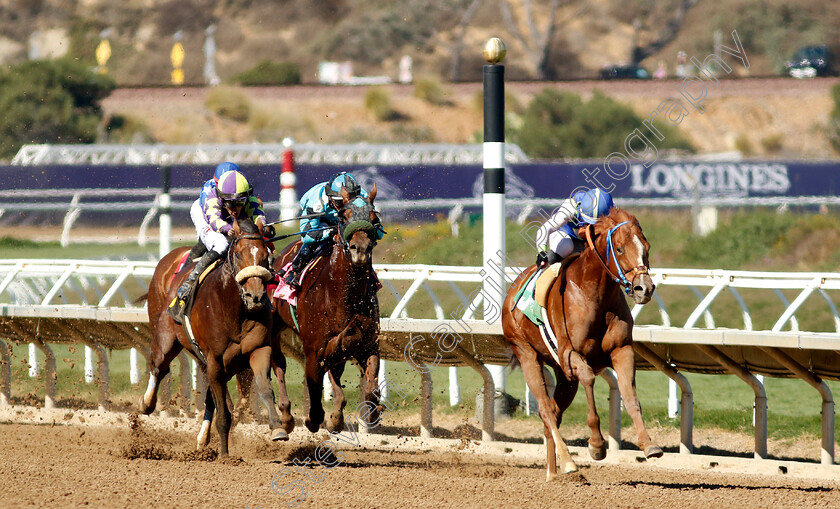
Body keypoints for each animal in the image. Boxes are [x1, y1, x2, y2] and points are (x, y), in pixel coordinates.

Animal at [139, 216, 294, 454]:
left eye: (265, 255)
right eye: (238, 254)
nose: (256, 296)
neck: (233, 311)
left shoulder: (258, 349)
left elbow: (265, 389)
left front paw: (278, 428)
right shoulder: (214, 360)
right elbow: (224, 415)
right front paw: (225, 455)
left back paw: (203, 438)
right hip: (167, 337)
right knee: (158, 366)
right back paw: (147, 403)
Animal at [270, 186, 382, 432]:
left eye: (374, 218)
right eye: (343, 216)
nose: (360, 250)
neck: (341, 295)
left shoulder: (369, 344)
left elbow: (370, 387)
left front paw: (371, 410)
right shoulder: (313, 348)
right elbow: (314, 384)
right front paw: (314, 418)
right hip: (273, 327)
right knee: (278, 364)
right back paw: (286, 414)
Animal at [506, 206, 664, 480]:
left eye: (646, 246)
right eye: (619, 249)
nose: (644, 289)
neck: (594, 293)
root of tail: (512, 290)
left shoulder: (622, 349)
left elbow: (630, 395)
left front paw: (648, 444)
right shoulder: (572, 354)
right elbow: (589, 378)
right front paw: (597, 445)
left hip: (562, 375)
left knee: (552, 414)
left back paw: (552, 473)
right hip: (526, 353)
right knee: (545, 410)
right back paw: (568, 461)